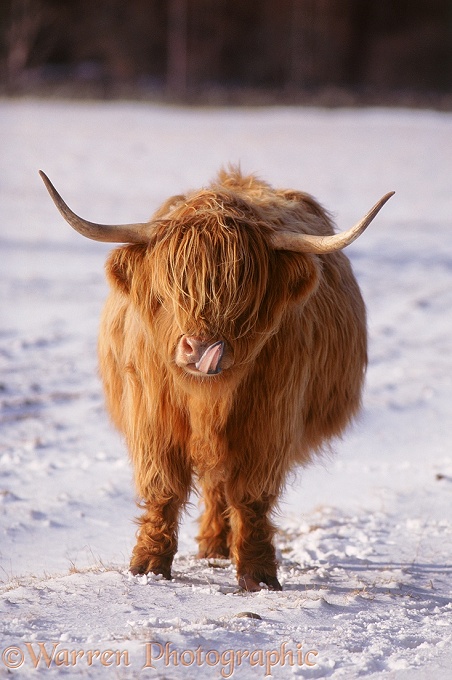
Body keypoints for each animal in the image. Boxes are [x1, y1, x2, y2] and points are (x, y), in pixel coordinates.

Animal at [39, 166, 392, 588]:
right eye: (170, 289)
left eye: (242, 294)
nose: (201, 349)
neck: (208, 396)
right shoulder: (152, 415)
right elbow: (163, 488)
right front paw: (148, 564)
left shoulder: (268, 419)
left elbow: (251, 496)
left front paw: (258, 574)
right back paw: (212, 546)